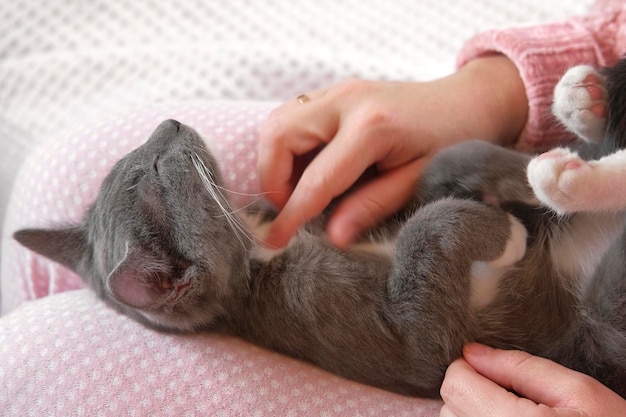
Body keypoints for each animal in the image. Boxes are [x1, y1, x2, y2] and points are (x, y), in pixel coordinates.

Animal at [14, 61, 624, 396]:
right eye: (156, 169)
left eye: (133, 158)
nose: (168, 121)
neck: (260, 249)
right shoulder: (398, 337)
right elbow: (425, 238)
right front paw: (507, 231)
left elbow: (444, 162)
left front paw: (517, 178)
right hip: (602, 313)